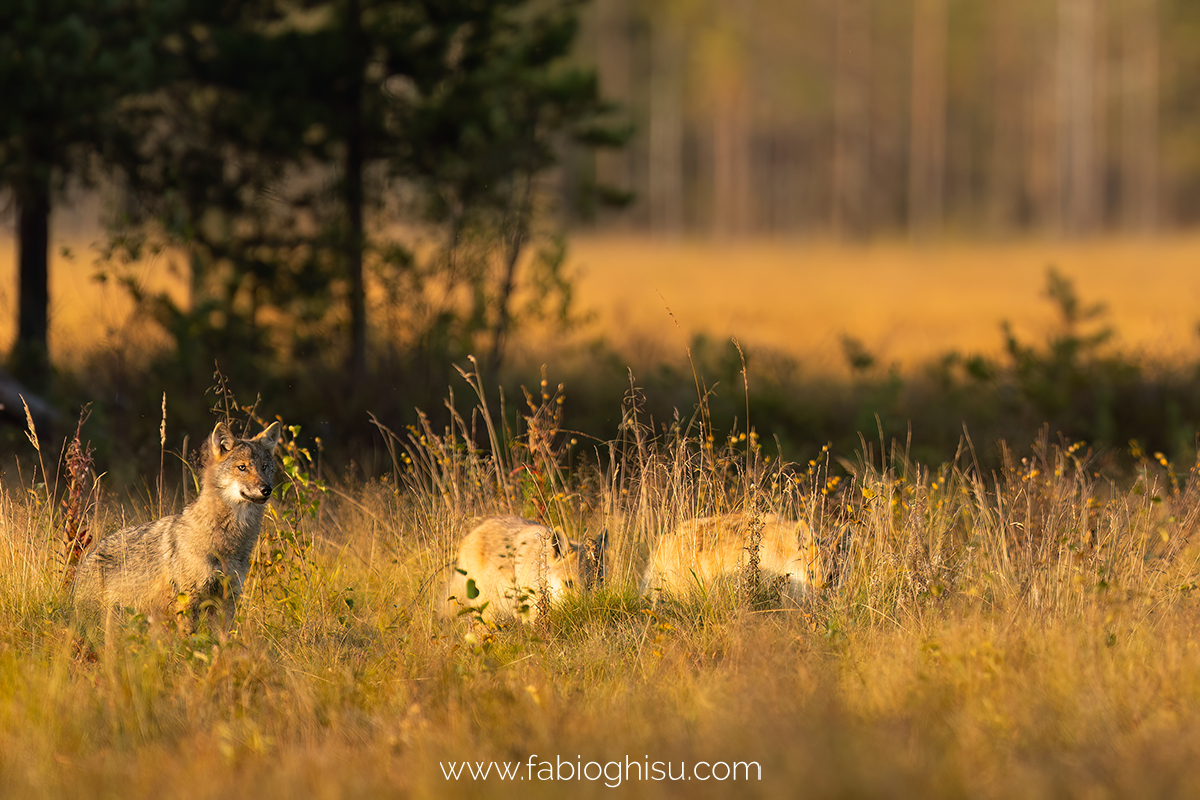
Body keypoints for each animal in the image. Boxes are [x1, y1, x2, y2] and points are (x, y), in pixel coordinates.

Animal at [73, 419, 283, 638]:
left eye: (264, 467)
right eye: (242, 467)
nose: (267, 489)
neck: (228, 542)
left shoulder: (227, 600)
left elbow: (221, 641)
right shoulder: (188, 598)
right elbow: (189, 639)